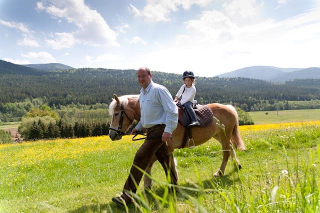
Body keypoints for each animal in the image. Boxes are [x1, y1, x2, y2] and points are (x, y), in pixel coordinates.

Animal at [107, 94, 245, 189]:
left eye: (116, 114)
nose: (111, 134)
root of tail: (229, 107)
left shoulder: (166, 147)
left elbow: (156, 163)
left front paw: (150, 183)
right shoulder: (163, 147)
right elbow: (160, 163)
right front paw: (151, 183)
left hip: (224, 135)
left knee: (226, 152)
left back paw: (220, 172)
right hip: (219, 136)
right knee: (230, 147)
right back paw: (237, 165)